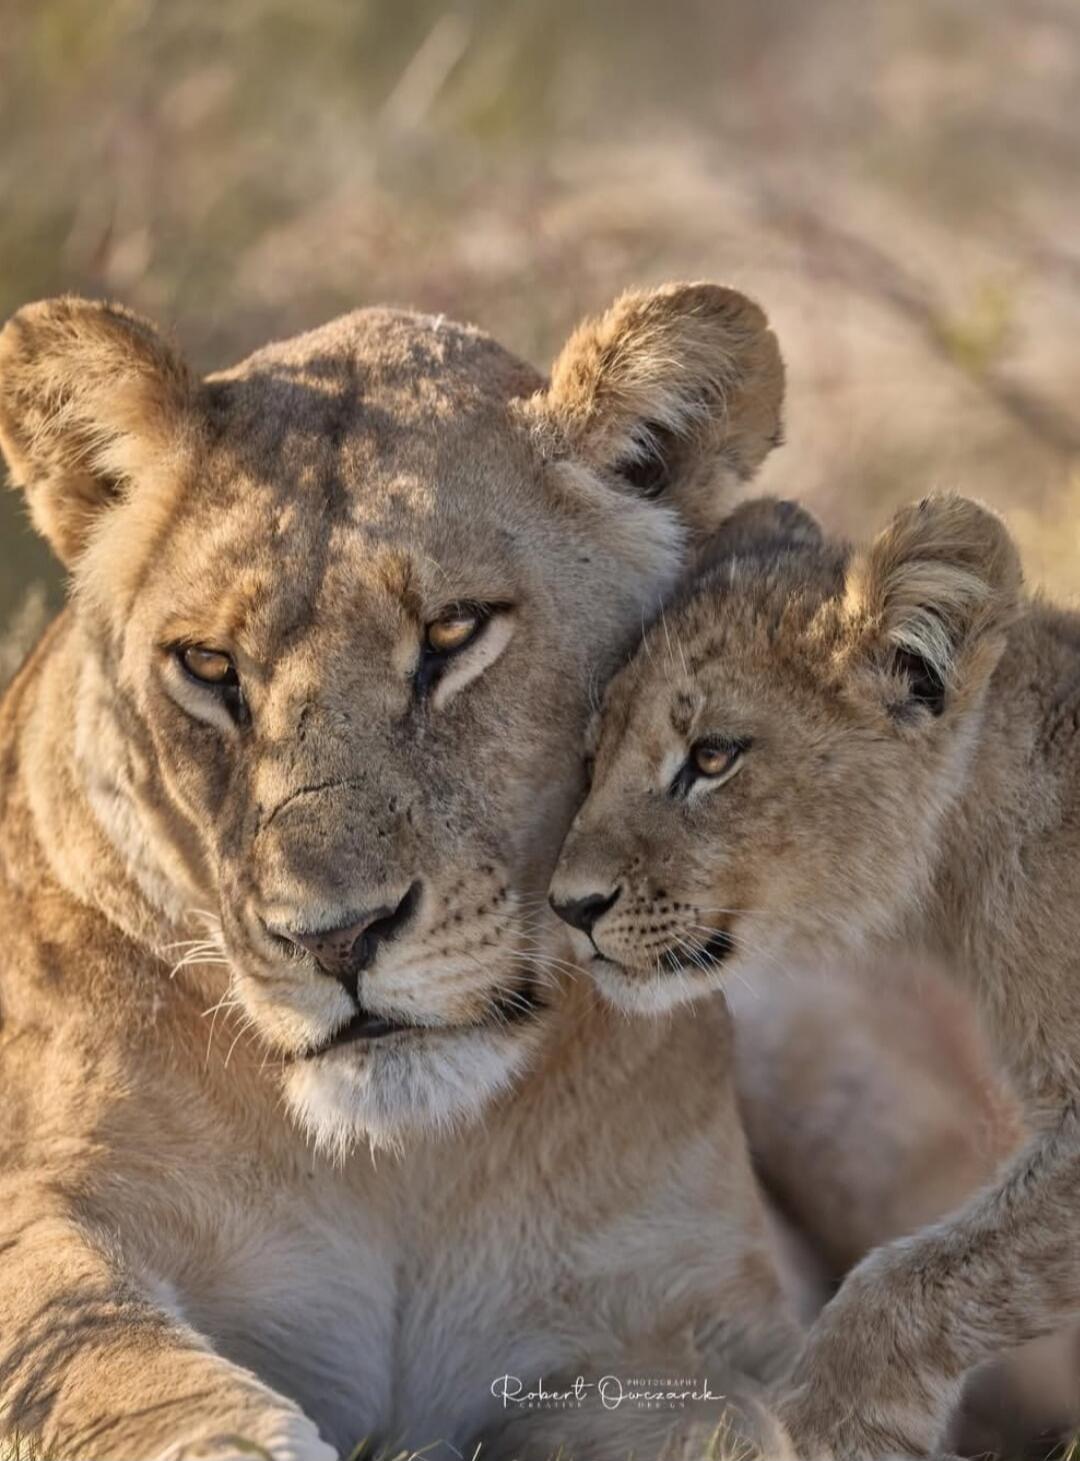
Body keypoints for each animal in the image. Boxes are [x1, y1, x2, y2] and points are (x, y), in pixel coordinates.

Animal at [0, 285, 807, 1461]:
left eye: (454, 631)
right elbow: (89, 1345)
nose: (335, 937)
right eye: (208, 666)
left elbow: (762, 1424)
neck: (404, 1168)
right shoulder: (45, 1202)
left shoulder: (679, 1327)